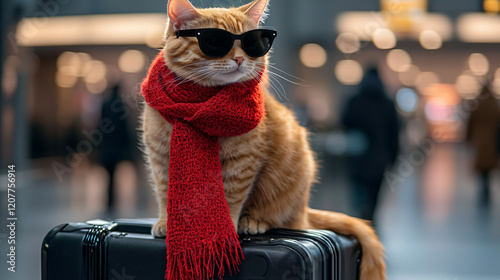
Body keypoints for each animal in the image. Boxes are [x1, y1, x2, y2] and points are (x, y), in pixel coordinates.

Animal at [141, 0, 386, 278]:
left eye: (252, 43)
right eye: (214, 41)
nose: (239, 59)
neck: (202, 104)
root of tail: (304, 209)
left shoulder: (243, 161)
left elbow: (229, 198)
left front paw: (222, 230)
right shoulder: (160, 158)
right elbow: (165, 193)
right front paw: (166, 221)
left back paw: (254, 220)